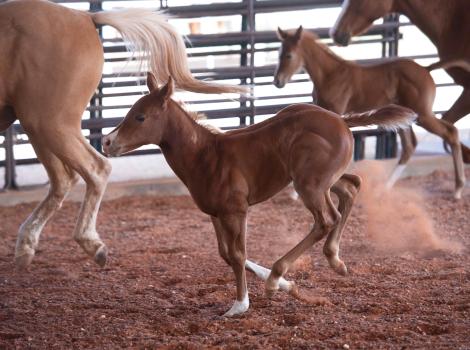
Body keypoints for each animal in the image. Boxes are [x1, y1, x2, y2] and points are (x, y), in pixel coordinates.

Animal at [2, 0, 246, 270]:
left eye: (140, 117)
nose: (108, 141)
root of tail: (84, 17)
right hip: (37, 125)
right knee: (63, 180)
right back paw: (27, 247)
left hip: (50, 122)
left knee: (95, 169)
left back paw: (91, 244)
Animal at [102, 74, 414, 318]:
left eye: (140, 116)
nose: (106, 141)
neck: (205, 155)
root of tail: (341, 120)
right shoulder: (215, 214)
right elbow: (225, 254)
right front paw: (289, 286)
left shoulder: (236, 211)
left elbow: (238, 254)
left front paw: (240, 304)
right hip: (324, 179)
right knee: (351, 187)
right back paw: (334, 261)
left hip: (310, 185)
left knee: (326, 219)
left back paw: (278, 276)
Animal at [274, 26, 464, 198]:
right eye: (279, 53)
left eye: (289, 55)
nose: (277, 81)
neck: (331, 75)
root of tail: (426, 68)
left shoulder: (336, 111)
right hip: (406, 116)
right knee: (410, 146)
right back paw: (385, 188)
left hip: (423, 114)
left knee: (451, 132)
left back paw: (458, 189)